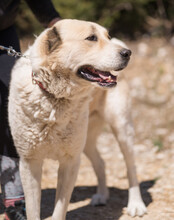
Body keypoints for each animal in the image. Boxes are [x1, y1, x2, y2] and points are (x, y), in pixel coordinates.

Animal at [8, 19, 145, 220]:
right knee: (100, 163)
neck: (55, 98)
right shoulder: (30, 163)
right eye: (92, 38)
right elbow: (33, 210)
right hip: (86, 141)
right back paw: (101, 196)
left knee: (131, 168)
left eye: (107, 36)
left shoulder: (70, 162)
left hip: (122, 129)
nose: (128, 53)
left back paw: (136, 204)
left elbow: (59, 210)